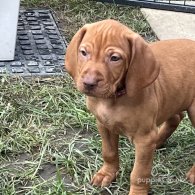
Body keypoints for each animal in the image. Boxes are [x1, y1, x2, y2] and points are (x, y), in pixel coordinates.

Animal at [65, 19, 195, 193]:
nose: (89, 83)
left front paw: (137, 192)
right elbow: (109, 153)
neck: (112, 99)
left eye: (114, 58)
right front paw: (107, 174)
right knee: (176, 117)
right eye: (84, 52)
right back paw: (158, 141)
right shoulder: (104, 125)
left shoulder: (144, 139)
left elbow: (139, 172)